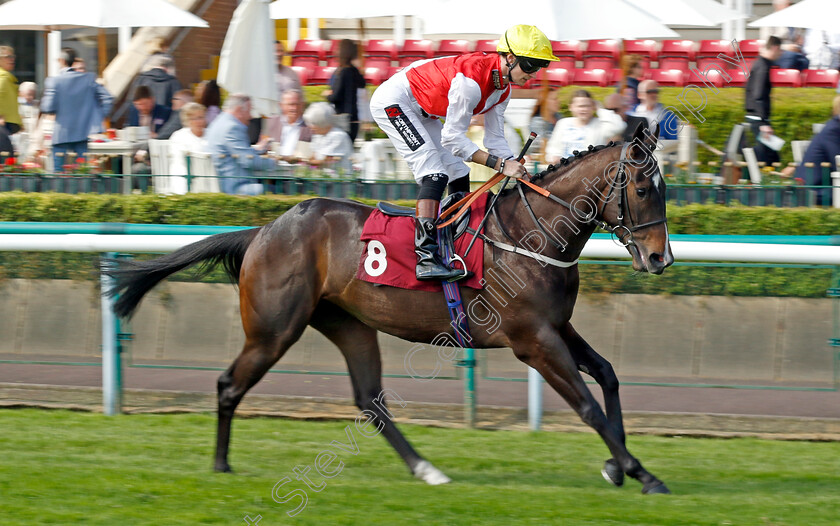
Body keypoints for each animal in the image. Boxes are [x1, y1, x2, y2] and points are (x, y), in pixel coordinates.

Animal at [106, 126, 676, 498]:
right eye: (641, 188)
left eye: (663, 188)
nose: (660, 258)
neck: (528, 236)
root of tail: (264, 231)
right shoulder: (533, 339)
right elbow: (587, 406)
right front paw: (640, 472)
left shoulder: (556, 326)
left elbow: (607, 375)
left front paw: (619, 466)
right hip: (274, 330)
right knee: (230, 384)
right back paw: (221, 465)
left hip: (348, 324)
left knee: (370, 400)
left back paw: (426, 469)